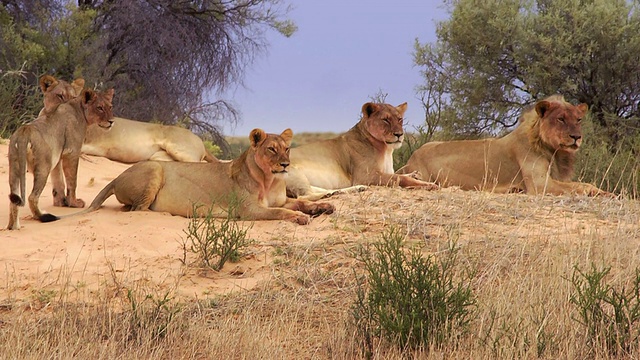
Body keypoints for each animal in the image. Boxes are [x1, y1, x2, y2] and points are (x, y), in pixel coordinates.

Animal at [7, 86, 115, 231]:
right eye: (100, 108)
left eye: (110, 106)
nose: (111, 121)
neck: (80, 110)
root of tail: (24, 131)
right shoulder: (72, 152)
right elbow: (72, 181)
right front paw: (74, 203)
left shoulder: (57, 157)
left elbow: (58, 181)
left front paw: (61, 202)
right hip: (43, 166)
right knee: (32, 197)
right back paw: (44, 217)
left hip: (15, 166)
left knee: (14, 198)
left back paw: (14, 227)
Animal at [63, 129, 336, 225]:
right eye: (271, 149)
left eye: (286, 148)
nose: (286, 164)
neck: (270, 180)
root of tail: (116, 177)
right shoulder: (250, 210)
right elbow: (283, 212)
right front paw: (301, 218)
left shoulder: (280, 199)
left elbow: (299, 202)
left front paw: (323, 207)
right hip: (156, 169)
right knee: (136, 210)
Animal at [286, 100, 440, 200]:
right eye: (385, 120)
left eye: (399, 119)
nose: (399, 134)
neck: (386, 150)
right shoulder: (365, 176)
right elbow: (399, 178)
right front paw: (428, 184)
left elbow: (399, 173)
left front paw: (415, 174)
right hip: (293, 171)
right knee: (304, 196)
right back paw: (329, 195)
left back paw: (351, 190)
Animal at [398, 95, 612, 197]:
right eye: (560, 119)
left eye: (578, 119)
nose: (576, 137)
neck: (556, 152)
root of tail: (411, 157)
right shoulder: (540, 184)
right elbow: (580, 185)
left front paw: (608, 193)